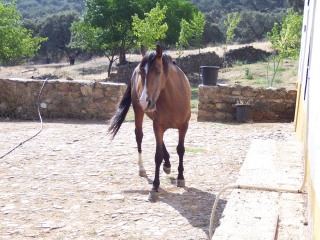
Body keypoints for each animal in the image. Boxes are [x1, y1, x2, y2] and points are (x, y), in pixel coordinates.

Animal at [109, 44, 191, 201]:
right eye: (142, 72)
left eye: (158, 72)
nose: (144, 101)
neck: (174, 98)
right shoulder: (158, 126)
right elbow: (157, 155)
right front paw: (155, 186)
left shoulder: (184, 127)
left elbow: (180, 150)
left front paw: (181, 177)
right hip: (139, 113)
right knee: (139, 136)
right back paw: (142, 169)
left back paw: (167, 164)